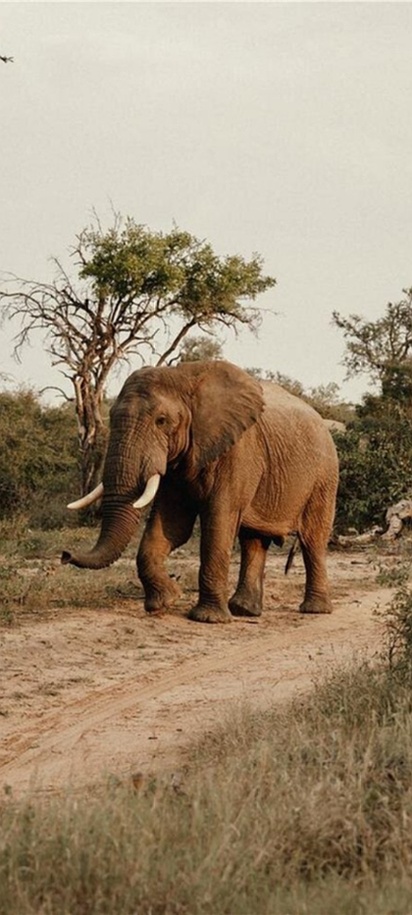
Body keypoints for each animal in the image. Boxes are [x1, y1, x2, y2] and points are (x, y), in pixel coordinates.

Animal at [62, 360, 339, 623]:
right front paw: (166, 600)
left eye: (161, 421)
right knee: (253, 540)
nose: (65, 555)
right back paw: (244, 611)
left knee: (312, 539)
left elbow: (218, 523)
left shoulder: (237, 451)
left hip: (324, 476)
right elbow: (172, 525)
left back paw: (314, 610)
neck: (185, 377)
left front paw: (207, 619)